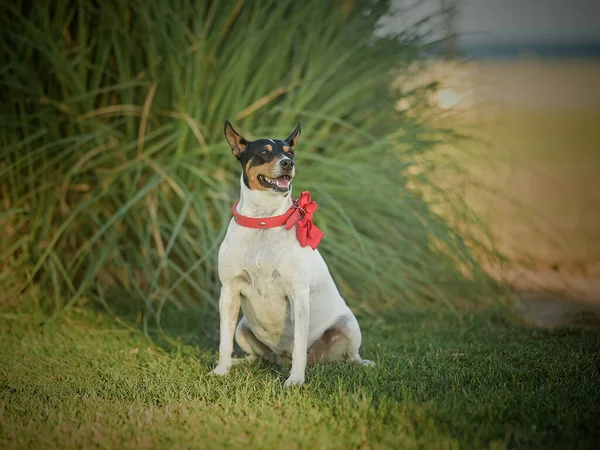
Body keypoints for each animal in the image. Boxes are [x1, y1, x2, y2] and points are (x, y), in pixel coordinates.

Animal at [210, 120, 370, 386]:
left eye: (290, 152)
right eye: (264, 152)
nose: (288, 163)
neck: (264, 221)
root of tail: (279, 358)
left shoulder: (298, 295)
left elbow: (299, 347)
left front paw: (295, 380)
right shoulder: (229, 292)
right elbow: (224, 340)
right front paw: (221, 370)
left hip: (348, 326)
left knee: (348, 357)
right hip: (243, 327)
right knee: (255, 356)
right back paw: (239, 362)